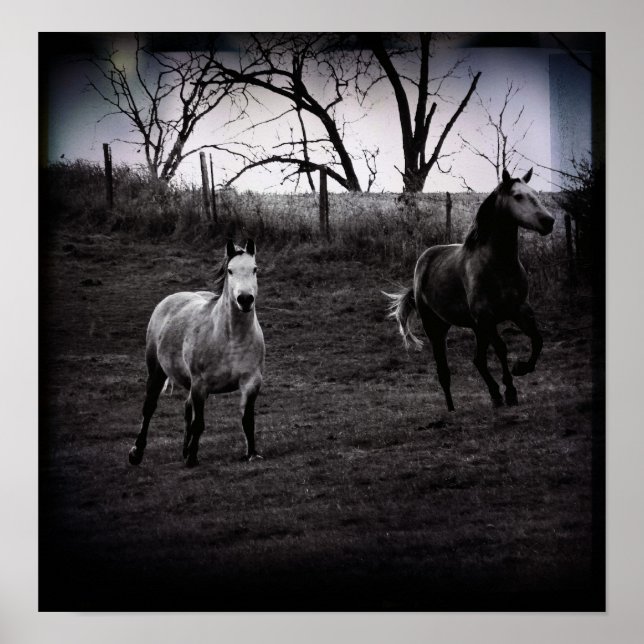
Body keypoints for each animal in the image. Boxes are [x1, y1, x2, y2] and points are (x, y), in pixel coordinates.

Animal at [128, 239, 265, 467]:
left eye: (254, 269)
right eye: (230, 270)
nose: (245, 299)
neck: (230, 339)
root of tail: (169, 300)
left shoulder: (251, 382)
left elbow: (247, 420)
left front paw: (251, 454)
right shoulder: (201, 384)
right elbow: (199, 423)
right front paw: (192, 458)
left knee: (186, 409)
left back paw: (184, 450)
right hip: (156, 371)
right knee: (149, 407)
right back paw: (137, 453)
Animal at [385, 169, 555, 411]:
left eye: (534, 193)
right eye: (518, 196)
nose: (548, 222)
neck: (499, 266)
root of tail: (424, 261)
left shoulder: (520, 311)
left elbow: (537, 340)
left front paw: (521, 369)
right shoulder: (487, 317)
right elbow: (501, 348)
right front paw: (511, 391)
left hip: (476, 328)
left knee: (478, 360)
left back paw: (494, 395)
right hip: (436, 328)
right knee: (444, 371)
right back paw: (452, 408)